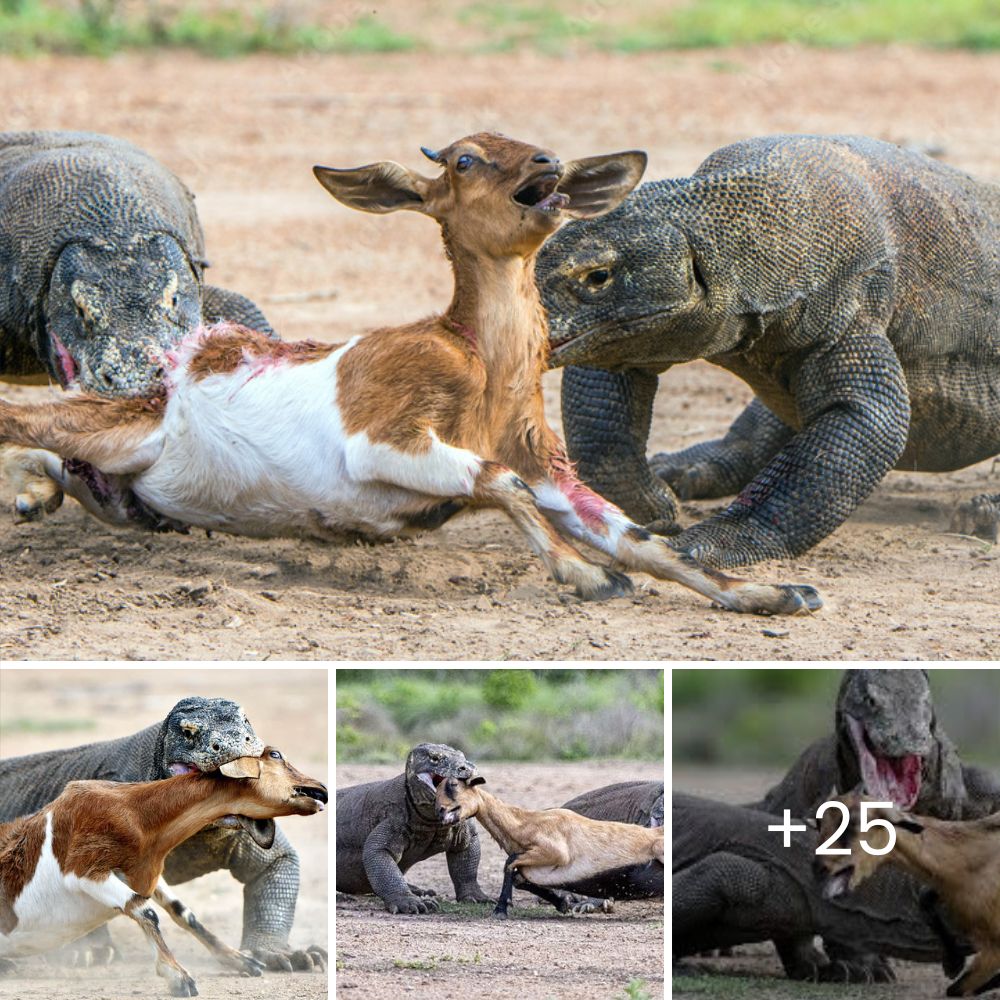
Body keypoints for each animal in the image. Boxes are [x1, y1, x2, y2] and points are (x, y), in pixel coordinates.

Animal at [0, 131, 820, 616]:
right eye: (465, 158)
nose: (548, 165)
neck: (482, 363)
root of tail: (167, 370)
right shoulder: (383, 443)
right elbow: (501, 483)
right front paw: (586, 576)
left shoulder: (548, 464)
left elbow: (644, 539)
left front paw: (772, 592)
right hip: (105, 421)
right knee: (19, 422)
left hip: (115, 468)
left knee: (63, 463)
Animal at [0, 748, 326, 996]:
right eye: (275, 754)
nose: (321, 789)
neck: (136, 814)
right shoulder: (84, 871)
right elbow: (145, 911)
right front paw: (179, 977)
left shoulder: (147, 876)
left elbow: (183, 913)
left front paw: (239, 960)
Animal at [436, 772, 664, 920]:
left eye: (454, 785)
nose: (440, 811)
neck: (524, 824)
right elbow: (518, 876)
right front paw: (563, 904)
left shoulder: (556, 852)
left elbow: (509, 863)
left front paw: (501, 910)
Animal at [812, 792, 1000, 996]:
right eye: (820, 823)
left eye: (853, 824)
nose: (817, 868)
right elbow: (925, 899)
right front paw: (953, 963)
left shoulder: (992, 949)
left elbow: (956, 989)